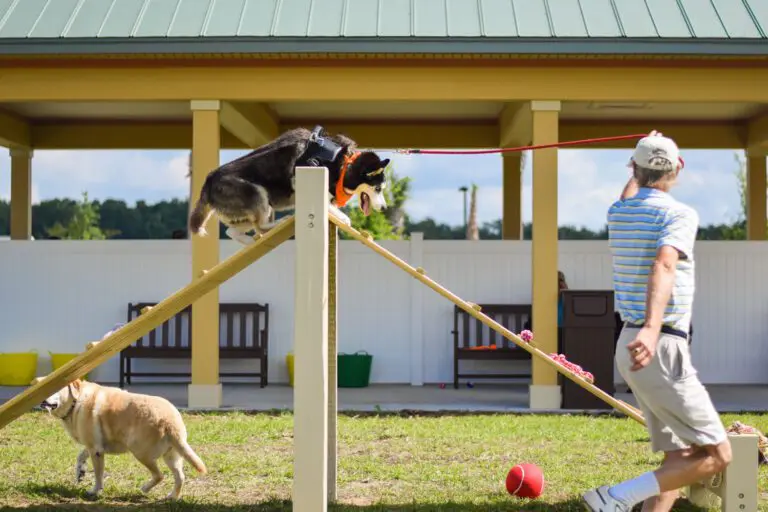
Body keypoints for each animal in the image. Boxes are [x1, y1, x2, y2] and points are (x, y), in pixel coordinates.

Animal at [187, 125, 390, 243]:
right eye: (378, 188)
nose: (384, 208)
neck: (342, 162)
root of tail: (208, 181)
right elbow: (333, 208)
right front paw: (343, 217)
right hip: (258, 194)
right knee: (259, 225)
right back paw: (278, 223)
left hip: (250, 212)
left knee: (233, 232)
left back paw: (252, 241)